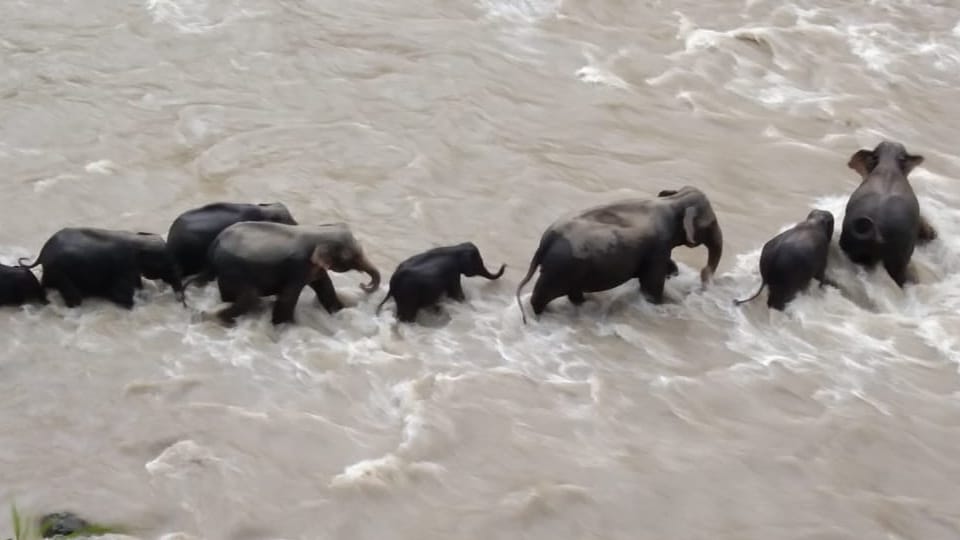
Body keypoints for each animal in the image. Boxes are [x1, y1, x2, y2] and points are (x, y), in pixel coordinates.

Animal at [18, 228, 184, 309]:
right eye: (168, 265)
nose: (181, 303)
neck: (139, 240)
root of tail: (43, 251)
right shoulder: (123, 267)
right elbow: (122, 295)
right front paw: (131, 305)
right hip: (61, 272)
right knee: (73, 295)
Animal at [186, 221, 381, 325]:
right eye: (351, 256)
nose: (363, 284)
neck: (319, 231)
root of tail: (214, 244)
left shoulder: (314, 269)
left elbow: (326, 288)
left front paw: (339, 310)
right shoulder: (297, 268)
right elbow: (287, 299)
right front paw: (289, 327)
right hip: (233, 271)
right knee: (249, 298)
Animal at [375, 242, 506, 322]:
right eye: (479, 262)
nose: (505, 264)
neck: (455, 247)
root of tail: (393, 282)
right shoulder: (453, 273)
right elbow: (457, 295)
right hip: (408, 295)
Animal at [515, 186, 723, 323]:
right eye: (711, 223)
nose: (704, 274)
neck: (673, 201)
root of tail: (547, 239)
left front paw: (674, 273)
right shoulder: (657, 246)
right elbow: (651, 285)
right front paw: (660, 304)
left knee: (572, 293)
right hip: (561, 268)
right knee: (542, 296)